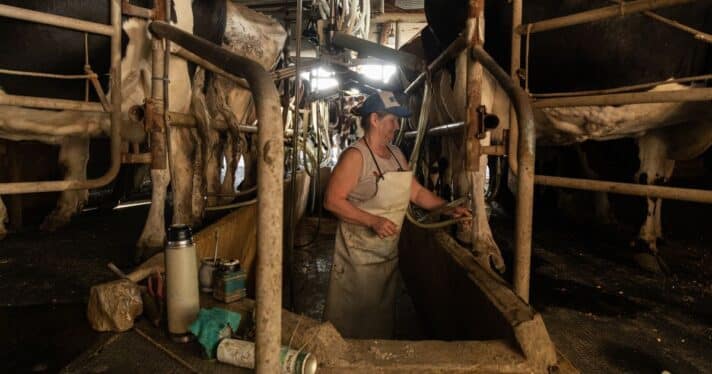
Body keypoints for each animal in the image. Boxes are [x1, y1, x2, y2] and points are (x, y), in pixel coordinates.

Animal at [414, 0, 712, 272]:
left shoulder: (664, 125)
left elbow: (659, 181)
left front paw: (653, 237)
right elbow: (648, 180)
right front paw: (645, 245)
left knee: (458, 161)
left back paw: (464, 227)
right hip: (475, 78)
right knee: (472, 163)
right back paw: (485, 244)